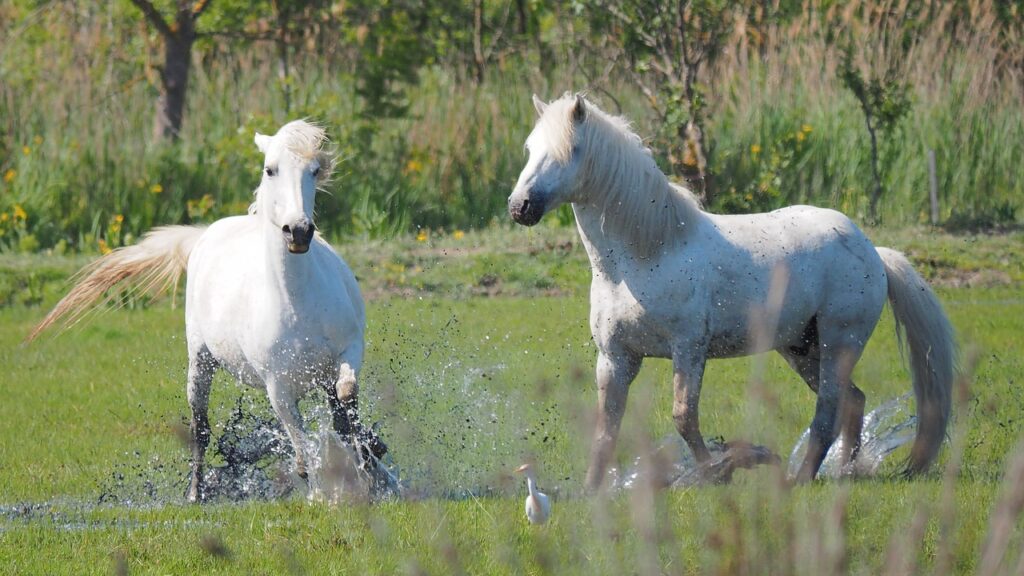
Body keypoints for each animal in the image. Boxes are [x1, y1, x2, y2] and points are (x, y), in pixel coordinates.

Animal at [30, 120, 388, 502]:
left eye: (315, 170)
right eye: (270, 169)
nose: (299, 231)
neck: (298, 302)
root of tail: (208, 232)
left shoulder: (348, 351)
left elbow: (346, 400)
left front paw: (370, 464)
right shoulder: (277, 386)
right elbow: (301, 441)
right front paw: (321, 491)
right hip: (200, 359)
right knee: (200, 428)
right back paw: (195, 493)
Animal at [508, 93, 956, 490]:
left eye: (573, 148)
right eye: (529, 149)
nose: (520, 207)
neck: (646, 255)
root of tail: (873, 252)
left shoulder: (689, 348)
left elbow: (684, 417)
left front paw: (721, 471)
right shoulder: (616, 358)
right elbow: (607, 428)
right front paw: (592, 491)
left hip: (839, 342)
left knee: (829, 411)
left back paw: (802, 479)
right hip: (800, 348)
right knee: (854, 402)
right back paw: (844, 472)